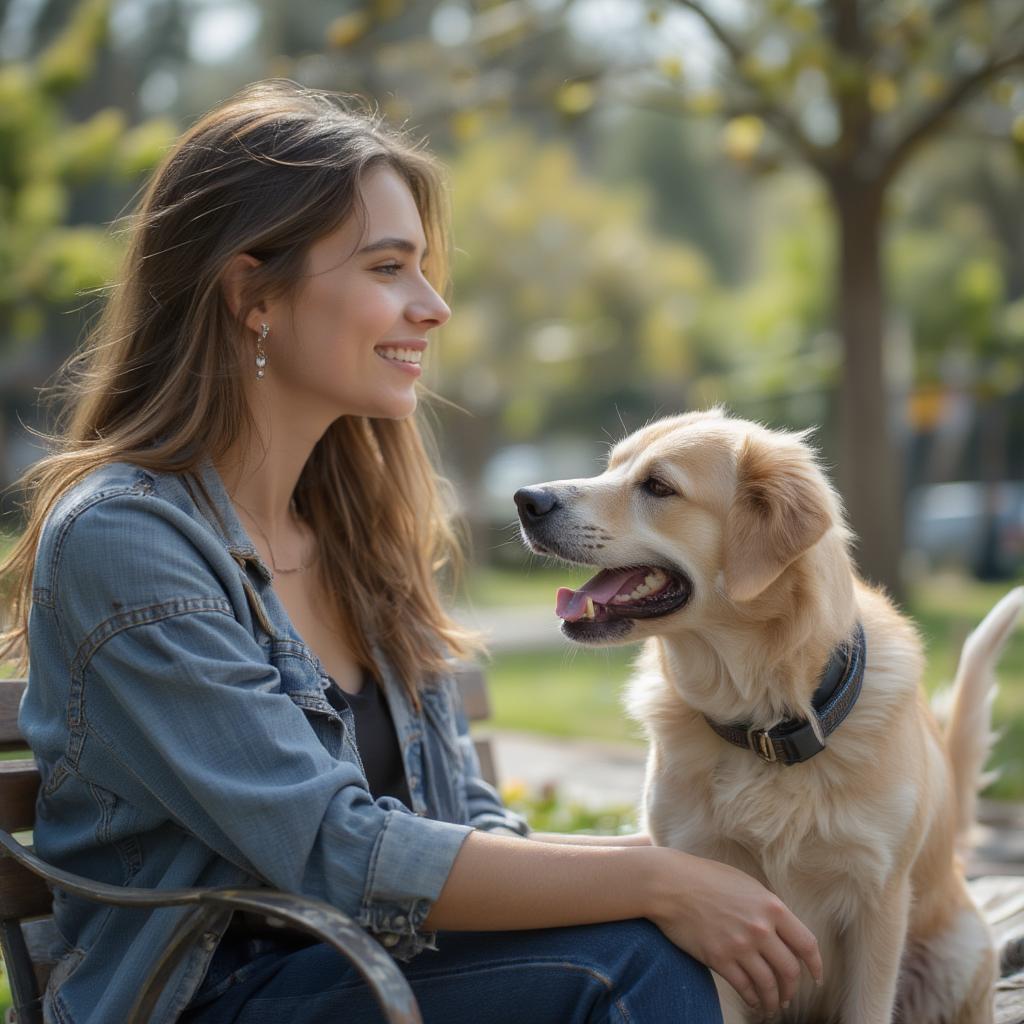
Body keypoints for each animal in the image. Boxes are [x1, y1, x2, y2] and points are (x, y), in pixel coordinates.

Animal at [516, 407, 1019, 1024]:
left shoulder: (878, 902)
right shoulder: (710, 902)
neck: (767, 728)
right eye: (610, 467)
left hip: (955, 953)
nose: (526, 499)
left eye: (658, 486)